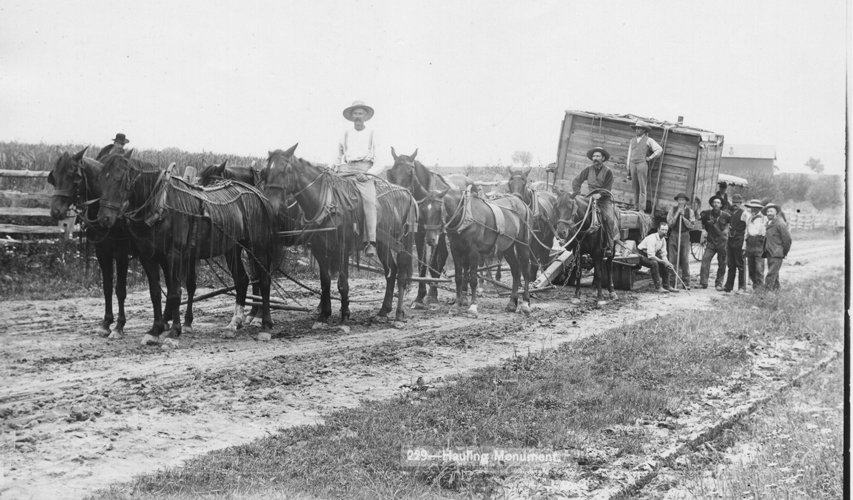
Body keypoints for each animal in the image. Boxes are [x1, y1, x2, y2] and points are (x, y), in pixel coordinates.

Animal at [47, 146, 173, 338]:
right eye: (53, 177)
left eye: (71, 176)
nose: (55, 211)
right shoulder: (102, 252)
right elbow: (107, 287)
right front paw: (106, 323)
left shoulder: (121, 253)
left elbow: (120, 289)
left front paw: (119, 325)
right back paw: (166, 319)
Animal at [98, 156, 280, 344]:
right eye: (101, 180)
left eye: (119, 179)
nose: (104, 218)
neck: (162, 205)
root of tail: (257, 193)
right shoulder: (148, 256)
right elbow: (155, 293)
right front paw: (155, 330)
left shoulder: (175, 256)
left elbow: (174, 293)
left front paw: (174, 332)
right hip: (233, 248)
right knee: (242, 280)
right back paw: (234, 324)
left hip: (258, 247)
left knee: (264, 281)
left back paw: (265, 326)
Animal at [262, 145, 416, 328]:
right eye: (264, 171)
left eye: (285, 170)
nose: (269, 204)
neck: (327, 204)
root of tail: (406, 192)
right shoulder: (319, 250)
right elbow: (325, 282)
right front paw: (323, 316)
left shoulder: (343, 249)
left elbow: (343, 284)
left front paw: (344, 317)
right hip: (384, 245)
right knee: (391, 272)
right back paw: (383, 311)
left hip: (402, 242)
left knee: (402, 275)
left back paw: (398, 315)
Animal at [384, 147, 476, 308]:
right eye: (392, 173)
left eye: (410, 172)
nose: (402, 197)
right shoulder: (421, 234)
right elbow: (423, 263)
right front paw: (420, 297)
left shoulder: (436, 233)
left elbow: (434, 261)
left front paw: (432, 294)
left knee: (459, 260)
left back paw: (463, 293)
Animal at [422, 186, 532, 318]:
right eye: (424, 210)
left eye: (439, 210)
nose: (430, 239)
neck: (465, 215)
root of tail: (520, 201)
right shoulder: (456, 249)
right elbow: (458, 277)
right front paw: (456, 305)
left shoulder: (473, 251)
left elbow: (473, 279)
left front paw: (473, 306)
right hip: (507, 246)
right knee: (515, 270)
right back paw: (511, 303)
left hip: (522, 243)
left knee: (525, 270)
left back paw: (525, 303)